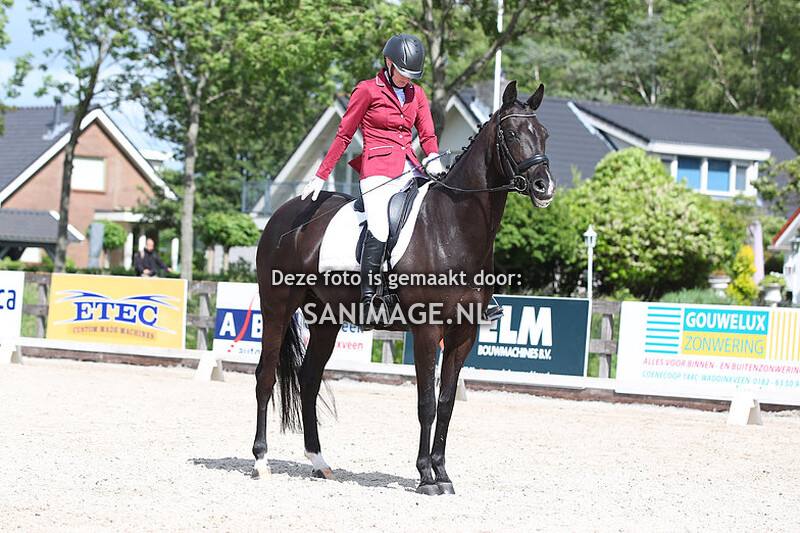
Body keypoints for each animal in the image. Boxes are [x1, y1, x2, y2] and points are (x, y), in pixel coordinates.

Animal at [252, 81, 556, 495]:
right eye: (510, 134)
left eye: (543, 134)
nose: (544, 187)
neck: (453, 226)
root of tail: (284, 215)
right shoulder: (427, 330)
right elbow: (425, 402)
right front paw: (426, 476)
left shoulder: (464, 333)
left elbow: (446, 403)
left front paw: (443, 473)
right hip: (277, 309)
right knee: (265, 376)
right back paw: (261, 461)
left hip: (325, 319)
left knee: (309, 379)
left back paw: (319, 462)